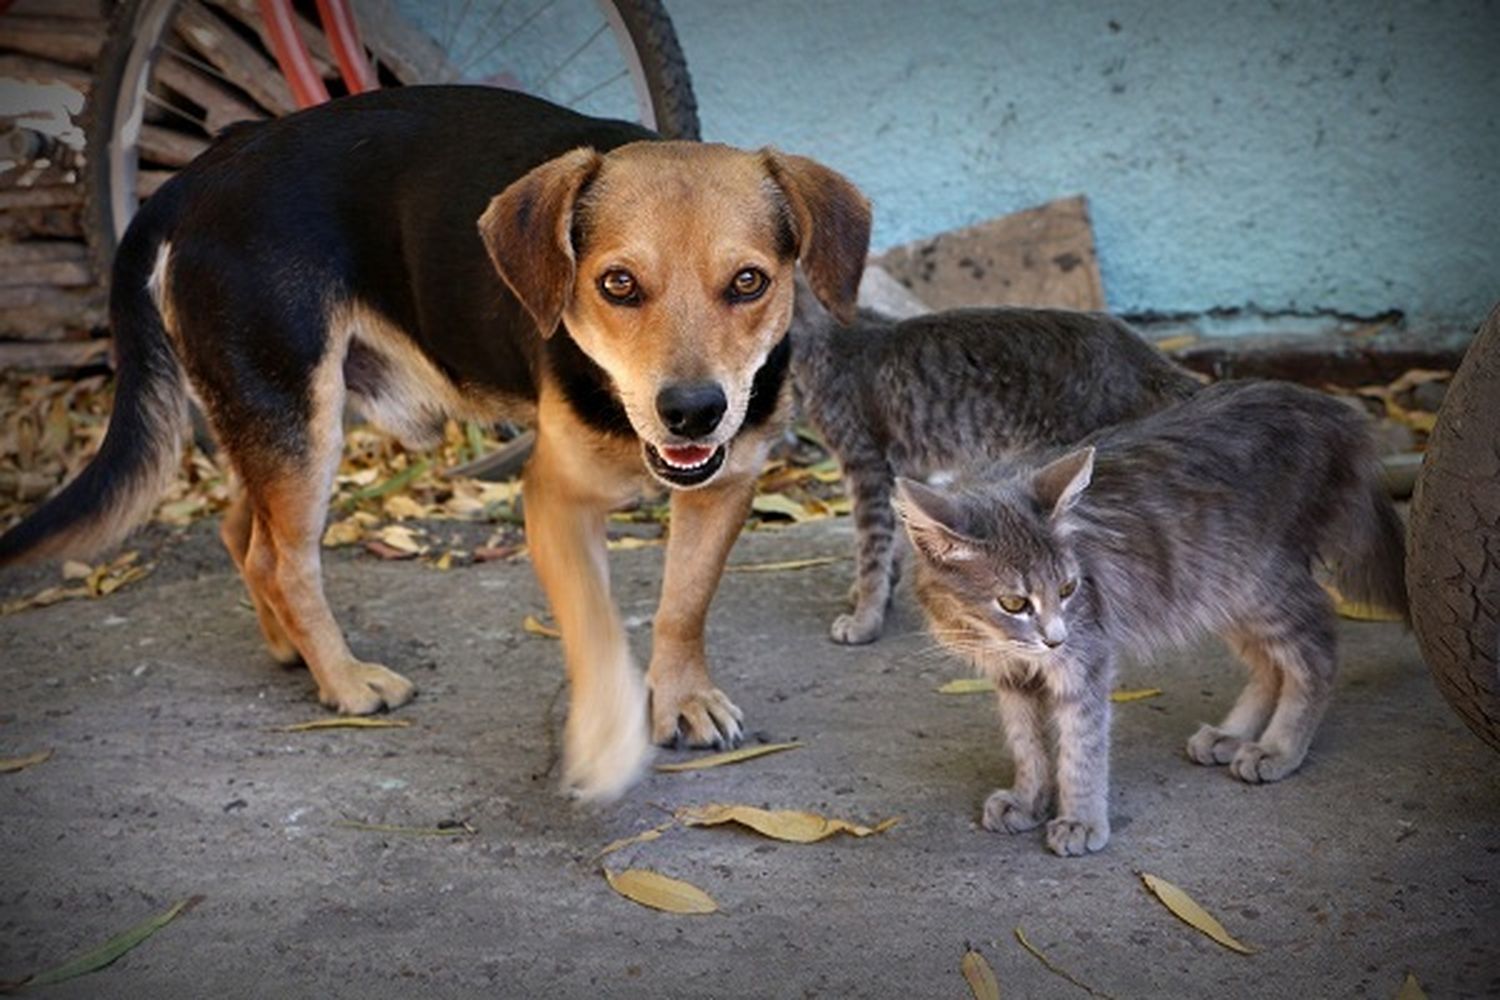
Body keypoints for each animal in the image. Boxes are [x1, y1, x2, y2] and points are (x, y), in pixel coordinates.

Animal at [0, 88, 870, 803]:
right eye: (617, 284)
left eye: (749, 282)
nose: (693, 411)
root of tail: (201, 173)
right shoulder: (555, 500)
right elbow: (594, 627)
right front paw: (604, 739)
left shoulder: (728, 481)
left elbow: (684, 604)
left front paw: (682, 696)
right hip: (297, 410)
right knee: (283, 558)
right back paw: (346, 681)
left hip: (277, 409)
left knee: (242, 533)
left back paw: (291, 650)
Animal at [792, 287, 1200, 650]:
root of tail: (1141, 354)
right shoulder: (905, 471)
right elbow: (899, 532)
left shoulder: (865, 465)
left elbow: (871, 547)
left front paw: (865, 617)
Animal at [894, 379, 1410, 857]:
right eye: (1015, 604)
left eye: (1068, 590)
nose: (1055, 639)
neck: (985, 633)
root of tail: (1326, 406)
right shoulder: (1012, 675)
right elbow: (1027, 744)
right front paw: (1029, 798)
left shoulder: (1084, 658)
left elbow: (1081, 748)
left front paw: (1081, 819)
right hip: (1218, 592)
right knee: (1272, 664)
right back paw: (1232, 735)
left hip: (1262, 584)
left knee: (1316, 650)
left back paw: (1278, 748)